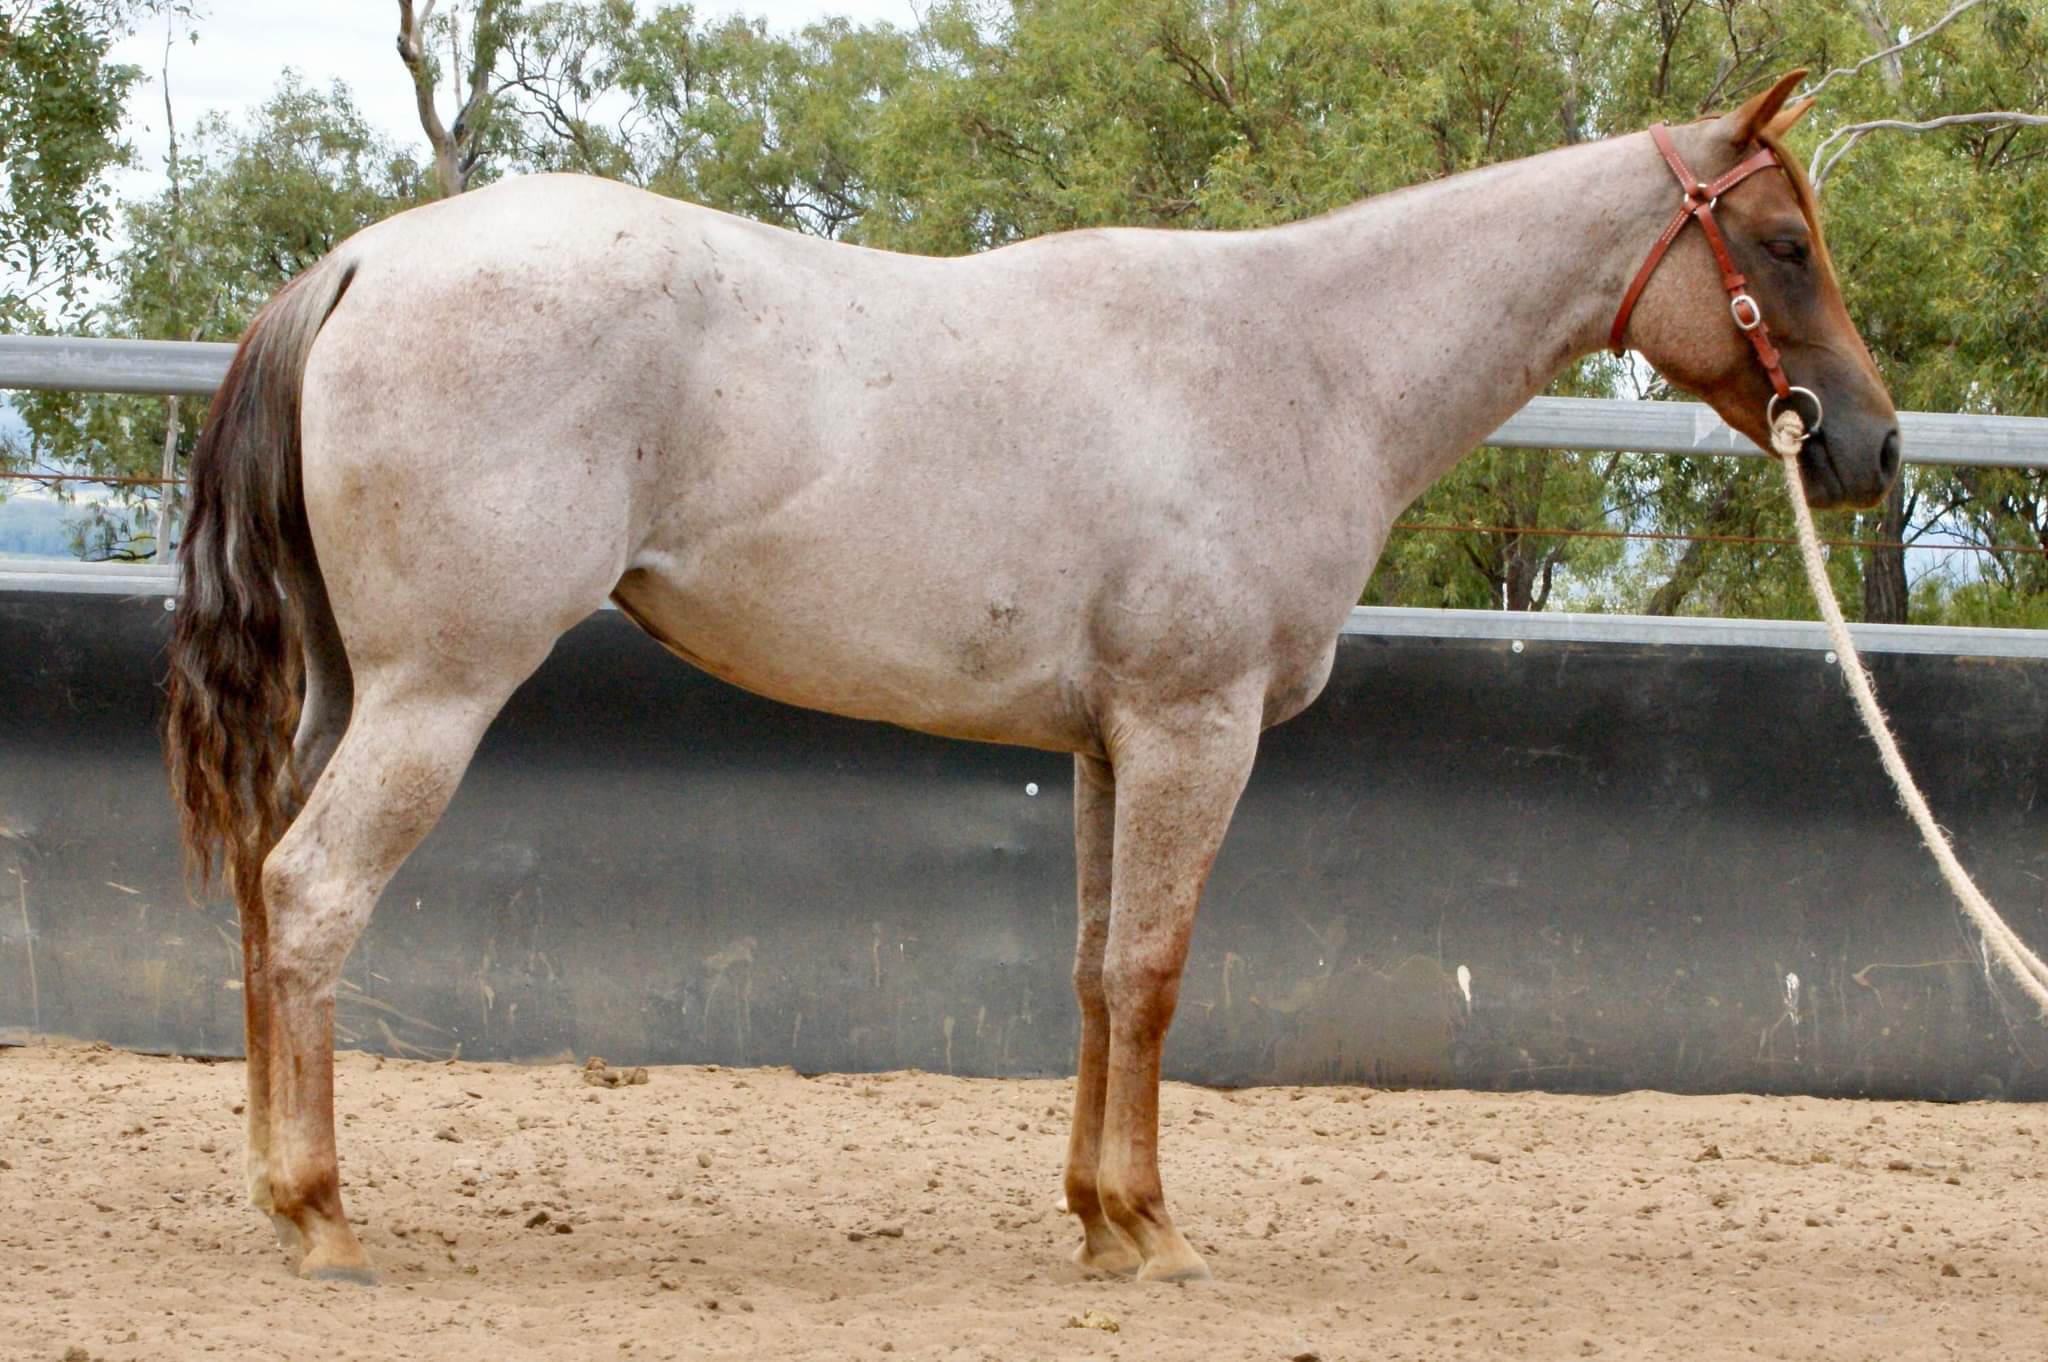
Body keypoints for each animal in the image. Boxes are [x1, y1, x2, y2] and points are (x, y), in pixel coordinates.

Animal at [163, 69, 1898, 1285]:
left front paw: (1094, 1217)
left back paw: (266, 1190)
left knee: (260, 887)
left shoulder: (1107, 745)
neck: (1304, 359)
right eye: (1784, 241)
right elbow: (1155, 969)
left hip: (351, 695)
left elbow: (1091, 971)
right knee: (312, 893)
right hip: (437, 694)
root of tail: (363, 264)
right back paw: (318, 1212)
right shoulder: (1195, 730)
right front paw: (1156, 1227)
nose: (1872, 447)